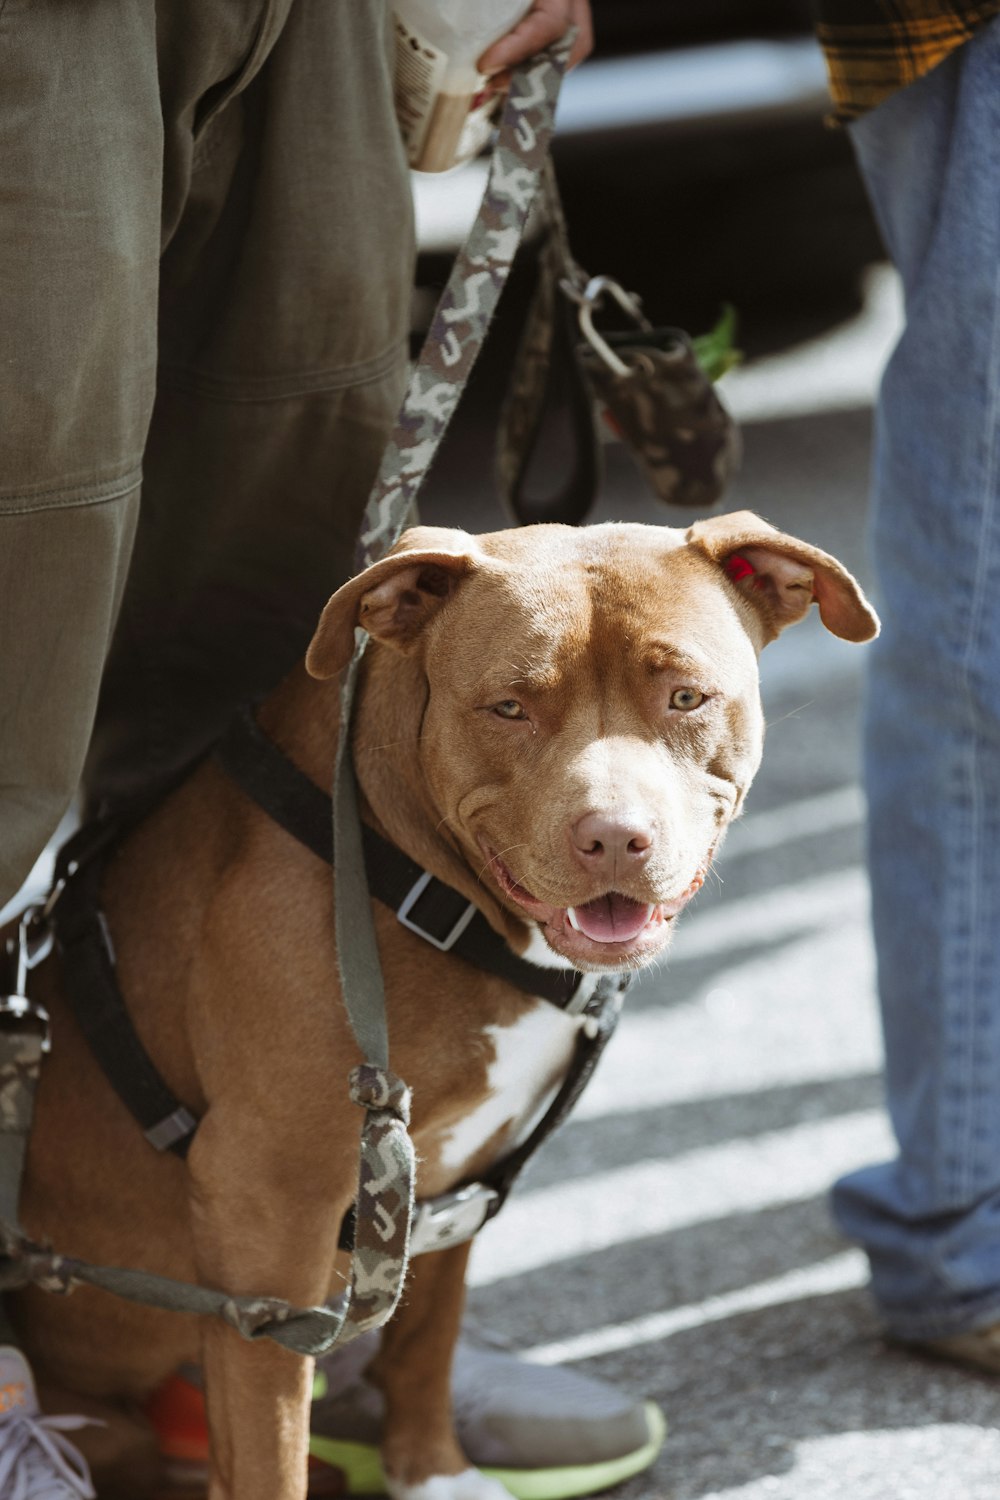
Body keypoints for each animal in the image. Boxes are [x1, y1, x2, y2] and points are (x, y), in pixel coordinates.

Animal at [11, 516, 881, 1500]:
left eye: (687, 697)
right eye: (507, 708)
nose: (615, 837)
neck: (419, 880)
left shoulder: (449, 1179)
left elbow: (426, 1333)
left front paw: (431, 1471)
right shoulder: (261, 1209)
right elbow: (269, 1445)